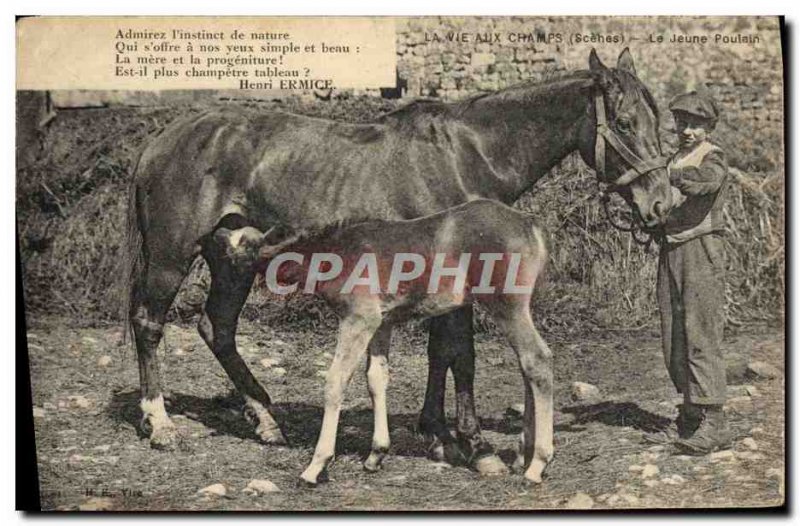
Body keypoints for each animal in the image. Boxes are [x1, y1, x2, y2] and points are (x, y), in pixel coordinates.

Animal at [216, 200, 552, 488]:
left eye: (243, 243)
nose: (218, 233)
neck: (332, 252)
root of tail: (531, 224)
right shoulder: (381, 323)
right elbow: (376, 379)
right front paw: (376, 453)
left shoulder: (358, 318)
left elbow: (336, 380)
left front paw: (316, 466)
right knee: (526, 366)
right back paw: (523, 453)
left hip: (506, 305)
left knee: (537, 359)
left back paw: (538, 463)